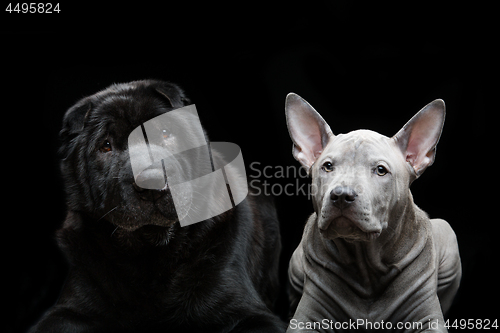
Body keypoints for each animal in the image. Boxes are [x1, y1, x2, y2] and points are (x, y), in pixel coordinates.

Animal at [29, 79, 284, 330]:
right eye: (105, 146)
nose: (152, 182)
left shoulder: (248, 311)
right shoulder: (69, 309)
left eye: (164, 133)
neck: (151, 253)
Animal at [286, 94, 460, 332]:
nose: (341, 195)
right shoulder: (306, 318)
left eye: (380, 170)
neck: (366, 267)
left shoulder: (428, 318)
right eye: (327, 166)